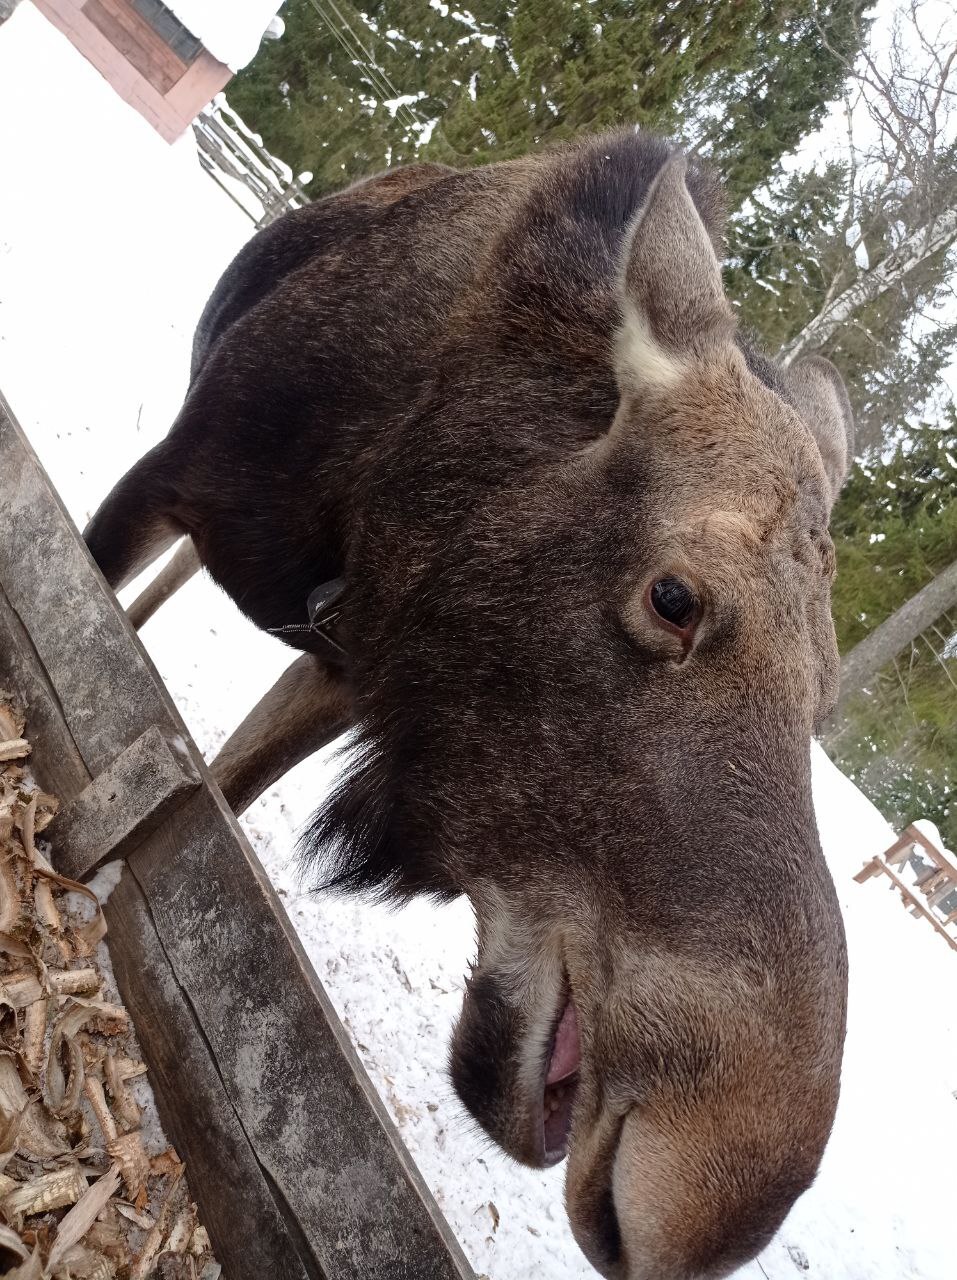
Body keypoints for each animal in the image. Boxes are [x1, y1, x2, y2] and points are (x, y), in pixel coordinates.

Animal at [85, 132, 854, 1280]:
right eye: (673, 598)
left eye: (827, 692)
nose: (716, 1186)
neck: (395, 482)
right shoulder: (171, 476)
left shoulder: (345, 664)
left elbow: (211, 789)